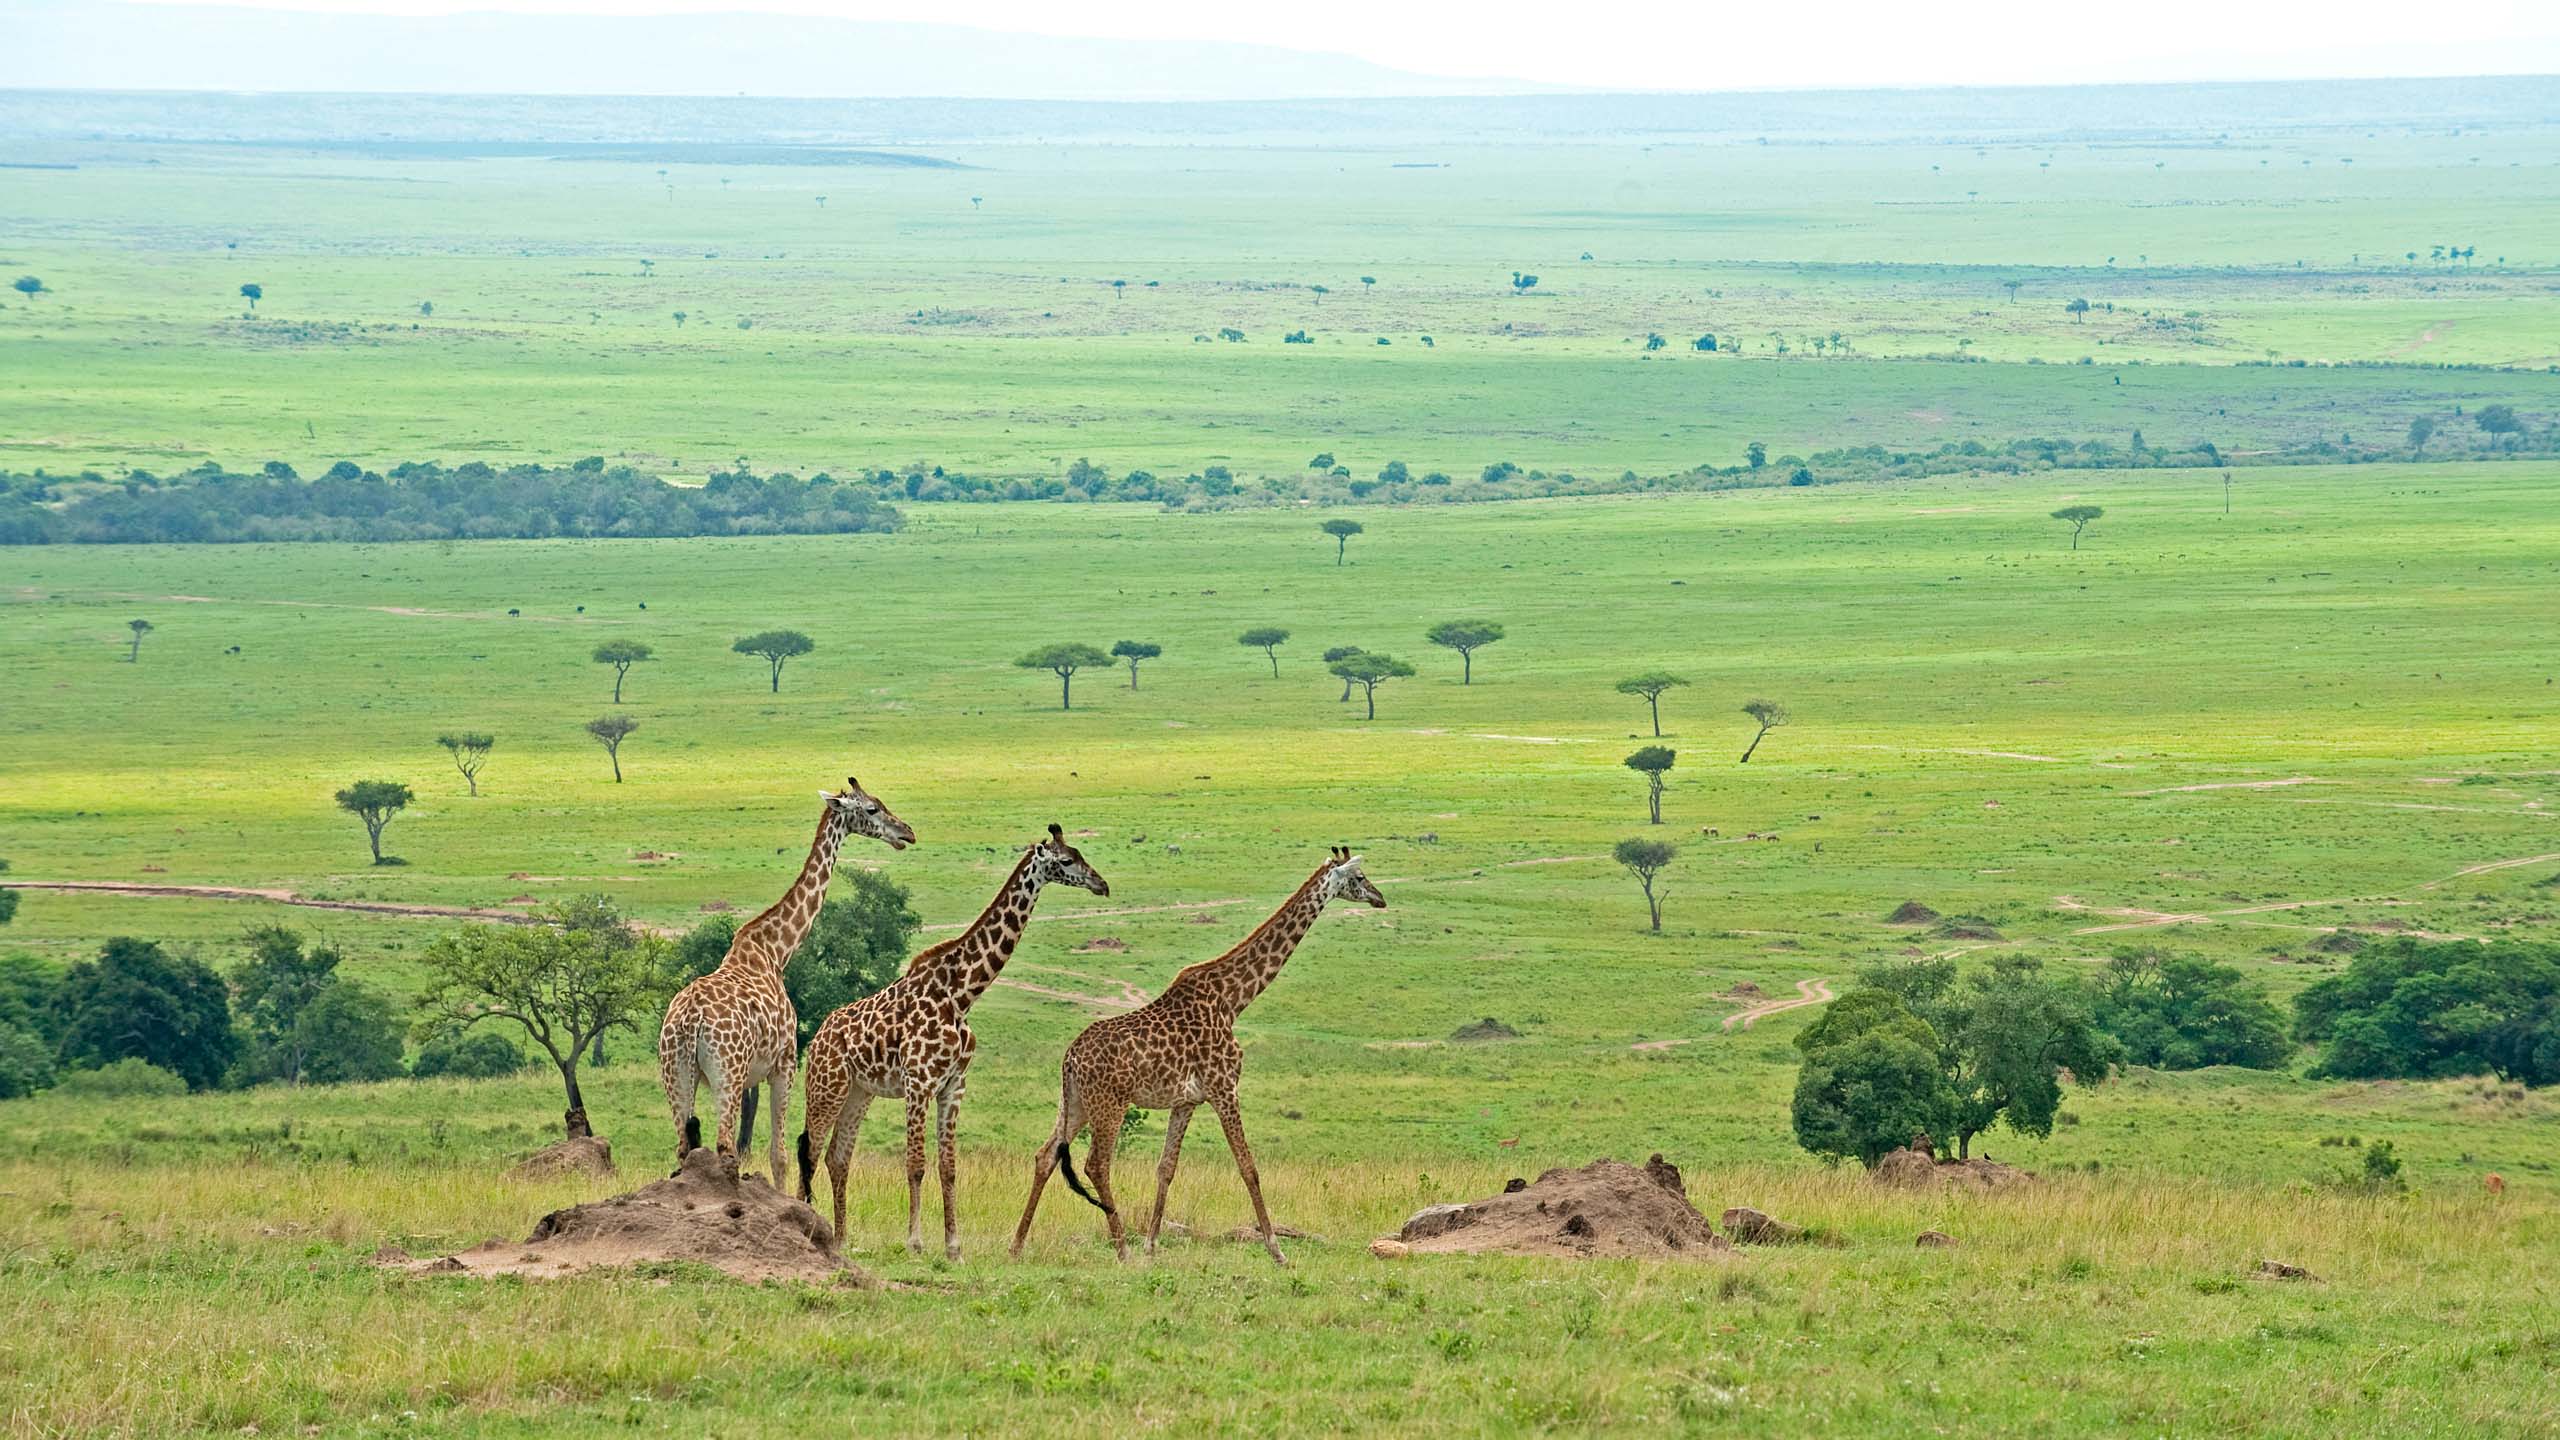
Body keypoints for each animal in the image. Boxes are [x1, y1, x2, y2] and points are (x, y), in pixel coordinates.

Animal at [655, 773, 916, 1178]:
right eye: (872, 808)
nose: (907, 833)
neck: (776, 952)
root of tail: (689, 1021)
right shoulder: (786, 1063)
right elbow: (779, 1155)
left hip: (675, 1072)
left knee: (684, 1149)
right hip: (727, 1073)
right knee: (725, 1145)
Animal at [793, 825, 1105, 1250]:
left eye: (1081, 853)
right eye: (1068, 860)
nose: (1102, 884)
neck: (961, 996)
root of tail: (818, 1037)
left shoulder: (953, 1085)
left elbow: (949, 1167)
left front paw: (953, 1246)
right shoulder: (919, 1082)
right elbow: (915, 1164)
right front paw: (915, 1242)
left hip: (859, 1092)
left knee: (836, 1157)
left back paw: (841, 1239)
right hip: (827, 1085)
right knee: (809, 1151)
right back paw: (802, 1226)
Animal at [1008, 845, 1392, 1260]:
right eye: (1359, 877)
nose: (1380, 898)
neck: (1233, 999)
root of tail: (1068, 1059)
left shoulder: (1186, 1100)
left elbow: (1166, 1168)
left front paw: (1151, 1247)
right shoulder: (1225, 1088)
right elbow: (1248, 1166)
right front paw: (1277, 1251)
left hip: (1075, 1102)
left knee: (1046, 1154)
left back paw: (1017, 1245)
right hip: (1109, 1103)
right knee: (1096, 1164)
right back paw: (1121, 1249)